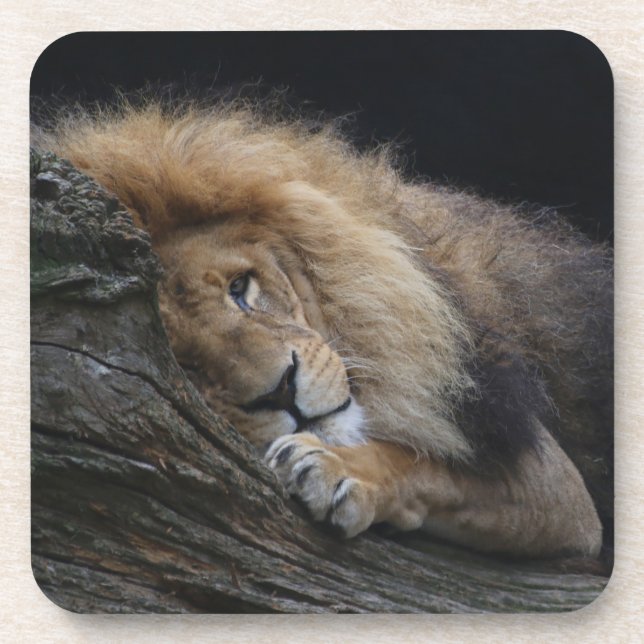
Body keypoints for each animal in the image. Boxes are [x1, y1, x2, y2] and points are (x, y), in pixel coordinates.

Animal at [34, 97, 613, 559]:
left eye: (240, 288)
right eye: (186, 364)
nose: (282, 391)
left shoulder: (554, 483)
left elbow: (425, 464)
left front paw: (337, 468)